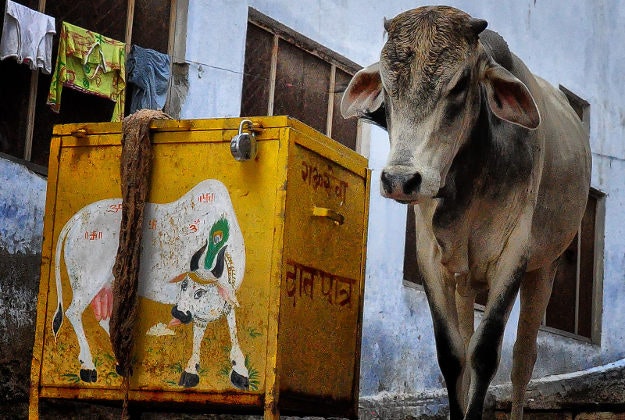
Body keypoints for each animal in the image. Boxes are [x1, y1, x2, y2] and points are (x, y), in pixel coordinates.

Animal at [52, 179, 250, 390]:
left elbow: (226, 327)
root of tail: (77, 218)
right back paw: (88, 366)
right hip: (88, 282)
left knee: (108, 321)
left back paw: (121, 363)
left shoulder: (219, 302)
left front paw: (237, 369)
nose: (178, 313)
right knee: (73, 312)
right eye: (183, 285)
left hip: (108, 285)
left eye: (200, 292)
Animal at [341, 6, 590, 420]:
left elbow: (486, 354)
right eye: (388, 88)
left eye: (459, 85)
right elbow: (453, 356)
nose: (400, 180)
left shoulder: (514, 255)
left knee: (523, 359)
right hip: (466, 281)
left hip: (546, 267)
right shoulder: (432, 260)